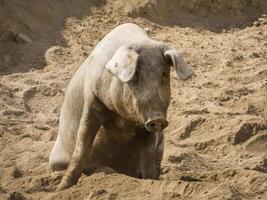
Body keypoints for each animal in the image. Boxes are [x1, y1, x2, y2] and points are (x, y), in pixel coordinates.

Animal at [49, 22, 194, 190]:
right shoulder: (91, 101)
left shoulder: (147, 128)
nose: (157, 118)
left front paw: (150, 181)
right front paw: (61, 189)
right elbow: (81, 148)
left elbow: (148, 158)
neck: (124, 119)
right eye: (136, 74)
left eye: (164, 74)